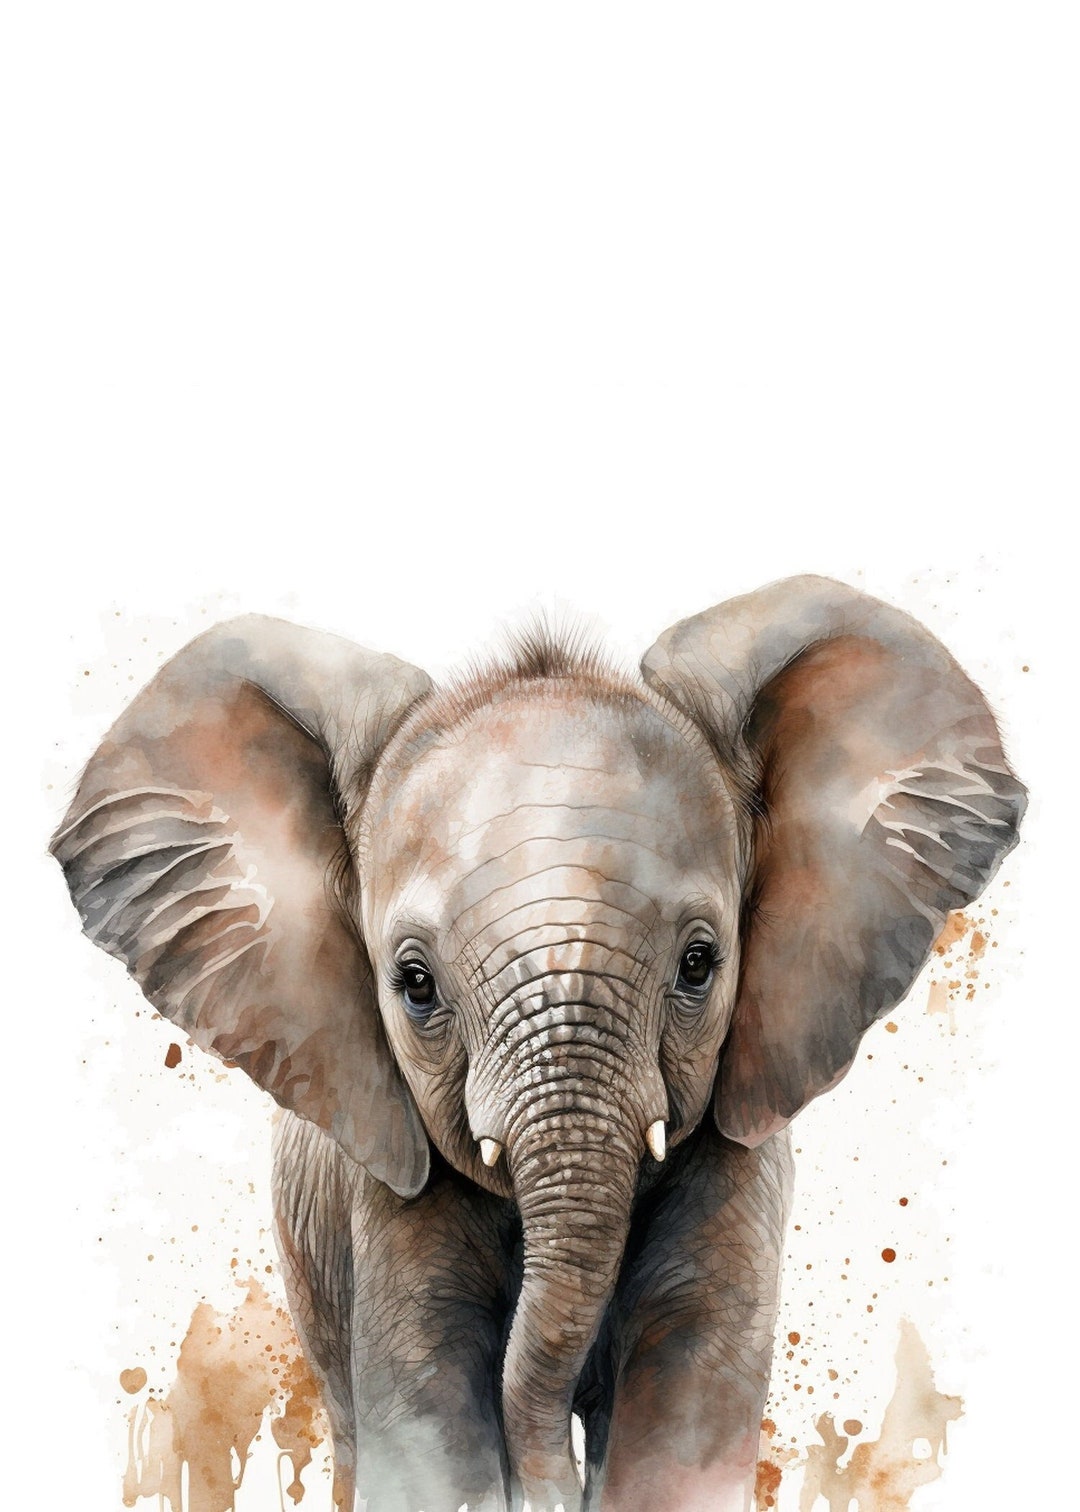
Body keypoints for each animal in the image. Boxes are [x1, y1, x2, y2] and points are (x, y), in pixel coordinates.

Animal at [50, 576, 1025, 1512]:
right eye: (415, 984)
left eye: (700, 965)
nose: (548, 1486)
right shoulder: (385, 1188)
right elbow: (430, 1432)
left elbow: (681, 1424)